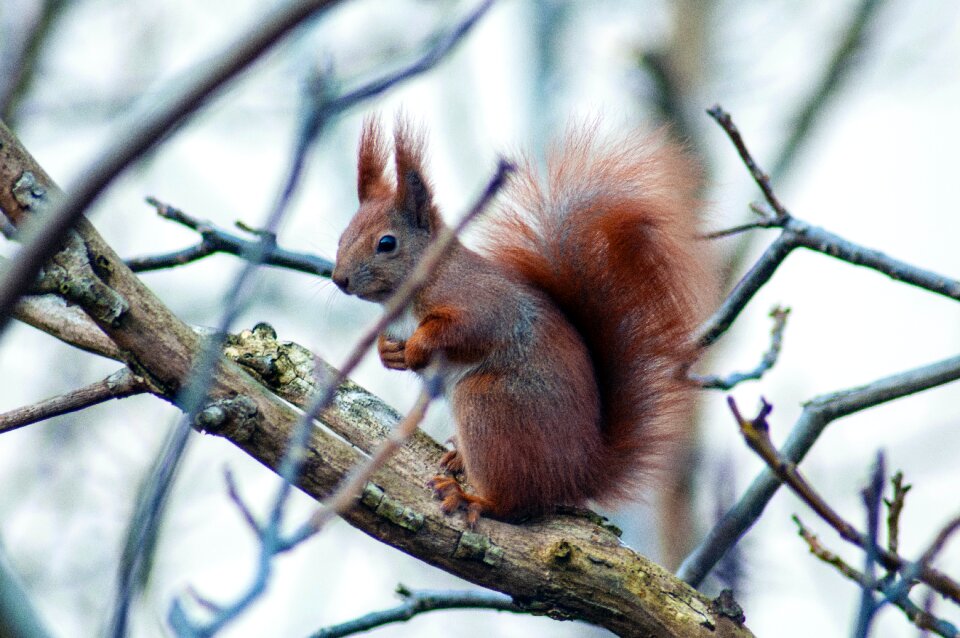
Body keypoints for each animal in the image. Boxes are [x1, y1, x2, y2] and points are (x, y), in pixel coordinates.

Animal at [334, 117, 716, 528]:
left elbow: (463, 329)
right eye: (342, 236)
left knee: (517, 504)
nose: (339, 279)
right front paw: (388, 352)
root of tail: (578, 474)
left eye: (386, 244)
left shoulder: (482, 303)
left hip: (488, 406)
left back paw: (474, 498)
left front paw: (418, 348)